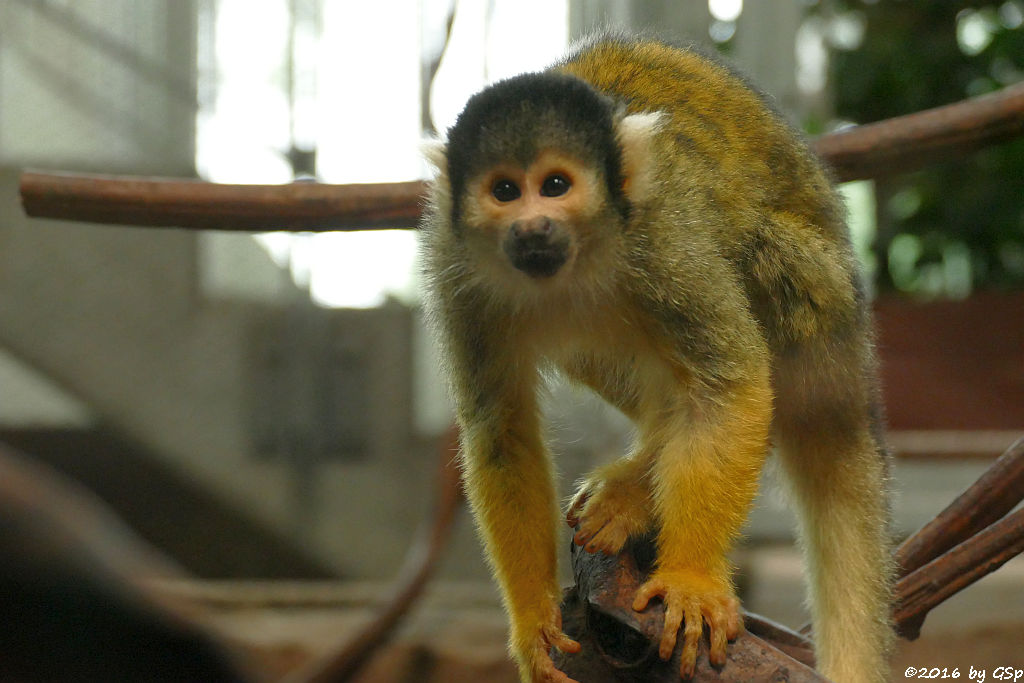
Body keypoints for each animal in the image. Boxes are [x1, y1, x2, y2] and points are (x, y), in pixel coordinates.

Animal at [419, 36, 892, 683]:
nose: (533, 227)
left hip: (827, 309)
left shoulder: (664, 235)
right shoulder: (455, 268)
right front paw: (532, 622)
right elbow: (500, 428)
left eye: (556, 184)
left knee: (763, 276)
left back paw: (640, 493)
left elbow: (731, 386)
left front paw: (690, 580)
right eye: (505, 191)